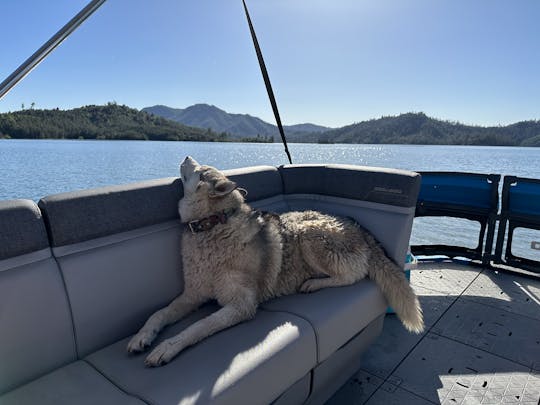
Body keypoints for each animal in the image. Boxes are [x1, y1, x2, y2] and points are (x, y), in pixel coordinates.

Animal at [129, 156, 424, 364]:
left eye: (200, 171)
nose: (187, 155)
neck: (212, 226)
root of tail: (360, 228)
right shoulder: (192, 295)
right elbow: (159, 313)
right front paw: (142, 336)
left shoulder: (242, 305)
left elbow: (199, 326)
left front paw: (167, 347)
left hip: (308, 235)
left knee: (354, 275)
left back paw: (313, 284)